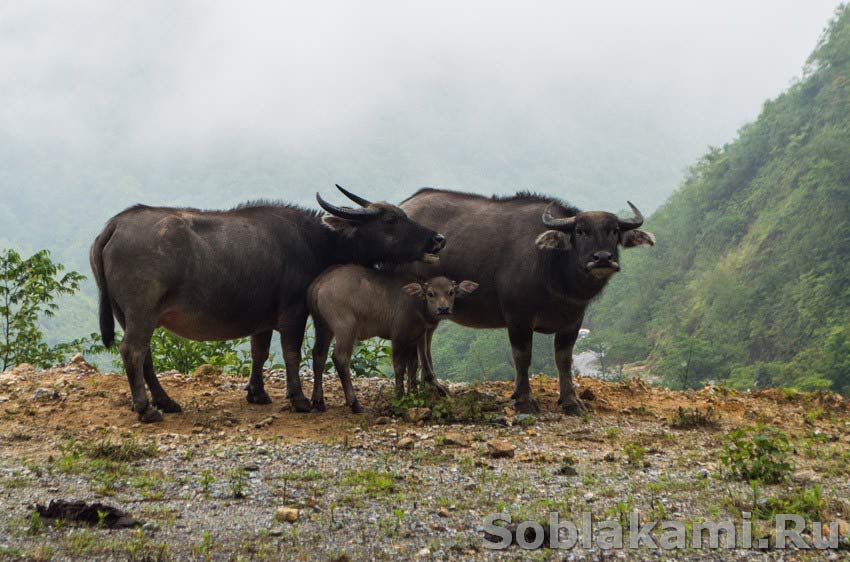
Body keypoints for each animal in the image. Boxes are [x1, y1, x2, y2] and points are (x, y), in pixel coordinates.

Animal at [89, 185, 448, 420]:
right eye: (390, 221)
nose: (438, 239)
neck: (316, 241)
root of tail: (115, 224)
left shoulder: (260, 319)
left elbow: (259, 353)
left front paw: (257, 393)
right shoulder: (293, 310)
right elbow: (291, 352)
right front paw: (299, 398)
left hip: (129, 314)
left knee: (144, 355)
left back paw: (165, 402)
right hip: (141, 311)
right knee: (133, 351)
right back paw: (146, 408)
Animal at [306, 262, 476, 412]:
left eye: (451, 292)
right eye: (430, 293)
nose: (443, 309)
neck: (417, 306)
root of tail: (320, 282)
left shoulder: (414, 338)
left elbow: (413, 365)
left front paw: (413, 394)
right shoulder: (398, 337)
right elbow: (399, 366)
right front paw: (400, 396)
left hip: (322, 325)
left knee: (319, 354)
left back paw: (318, 402)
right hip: (345, 328)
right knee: (340, 358)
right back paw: (355, 404)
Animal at [400, 188, 656, 412]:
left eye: (614, 230)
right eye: (581, 231)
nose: (602, 258)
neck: (553, 268)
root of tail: (406, 205)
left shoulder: (573, 320)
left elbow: (564, 359)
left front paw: (571, 401)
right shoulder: (518, 317)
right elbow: (522, 356)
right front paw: (523, 399)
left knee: (425, 337)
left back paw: (432, 383)